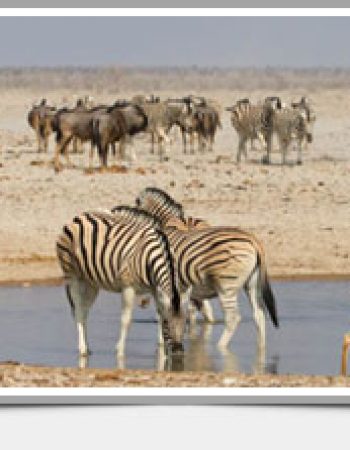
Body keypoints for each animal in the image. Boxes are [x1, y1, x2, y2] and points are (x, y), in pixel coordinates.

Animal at [55, 207, 186, 358]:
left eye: (186, 323)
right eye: (168, 323)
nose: (178, 352)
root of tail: (80, 216)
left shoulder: (155, 288)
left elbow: (158, 314)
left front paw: (162, 350)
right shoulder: (128, 287)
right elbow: (126, 320)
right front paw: (120, 351)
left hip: (91, 282)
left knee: (84, 310)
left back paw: (88, 348)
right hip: (74, 276)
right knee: (79, 311)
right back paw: (82, 349)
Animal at [135, 186, 278, 348]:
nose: (142, 303)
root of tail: (254, 240)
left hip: (226, 284)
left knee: (233, 317)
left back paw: (220, 346)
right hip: (251, 283)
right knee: (258, 314)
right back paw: (261, 347)